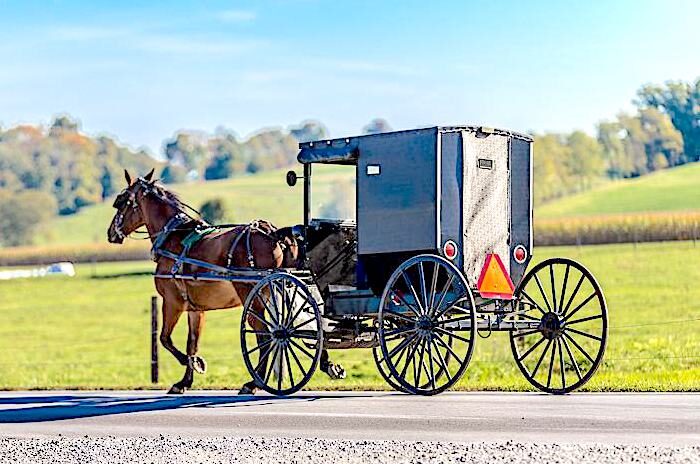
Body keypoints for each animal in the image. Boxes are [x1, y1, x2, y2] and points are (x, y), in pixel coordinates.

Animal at [107, 169, 344, 394]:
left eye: (120, 201)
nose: (111, 233)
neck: (173, 238)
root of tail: (273, 233)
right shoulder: (195, 308)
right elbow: (192, 342)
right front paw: (185, 381)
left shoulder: (172, 302)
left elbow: (165, 339)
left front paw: (193, 363)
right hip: (286, 287)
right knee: (305, 324)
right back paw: (326, 364)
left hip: (253, 295)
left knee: (266, 335)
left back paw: (254, 382)